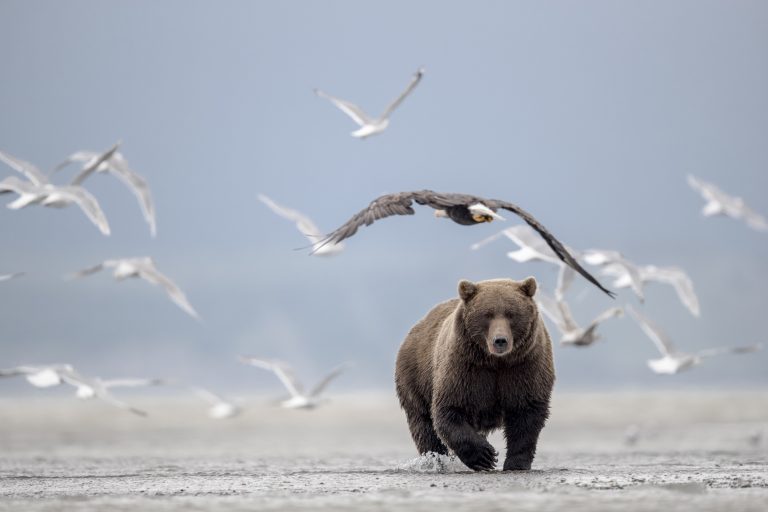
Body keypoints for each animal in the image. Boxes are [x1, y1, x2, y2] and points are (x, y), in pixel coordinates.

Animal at [396, 278, 552, 470]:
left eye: (511, 314)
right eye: (487, 314)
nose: (500, 340)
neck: (496, 361)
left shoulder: (524, 367)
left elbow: (526, 414)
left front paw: (516, 463)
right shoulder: (465, 368)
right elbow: (449, 409)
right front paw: (485, 456)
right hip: (415, 377)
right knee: (423, 425)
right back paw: (435, 460)